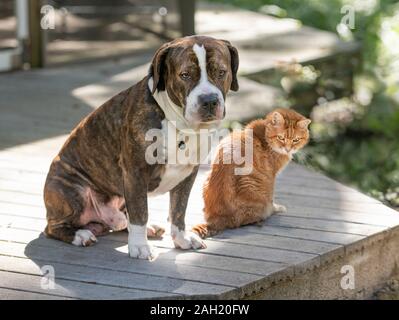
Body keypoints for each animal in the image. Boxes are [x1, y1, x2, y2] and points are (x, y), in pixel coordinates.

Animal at [194, 109, 312, 239]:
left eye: (296, 140)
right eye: (281, 137)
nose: (288, 149)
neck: (265, 136)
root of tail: (217, 219)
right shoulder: (271, 177)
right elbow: (272, 198)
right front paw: (276, 208)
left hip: (206, 176)